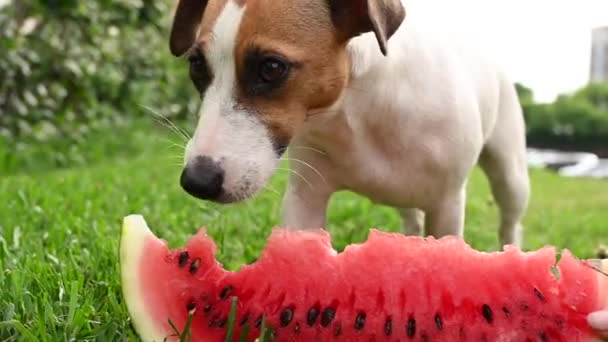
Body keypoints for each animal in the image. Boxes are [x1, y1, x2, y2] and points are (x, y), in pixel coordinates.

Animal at [169, 0, 528, 247]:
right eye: (196, 65)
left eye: (271, 68)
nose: (197, 181)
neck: (360, 106)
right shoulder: (305, 199)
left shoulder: (447, 207)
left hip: (510, 177)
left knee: (510, 221)